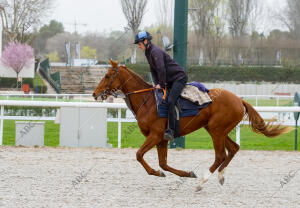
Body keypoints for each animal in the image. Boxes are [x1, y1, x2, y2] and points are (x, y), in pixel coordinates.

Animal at [92, 59, 292, 192]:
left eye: (107, 75)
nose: (94, 93)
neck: (147, 101)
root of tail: (239, 99)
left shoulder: (155, 135)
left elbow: (139, 155)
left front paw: (157, 172)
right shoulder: (162, 139)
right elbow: (164, 164)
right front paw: (184, 173)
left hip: (217, 130)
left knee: (220, 155)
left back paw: (202, 182)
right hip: (216, 129)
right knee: (234, 148)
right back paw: (220, 175)